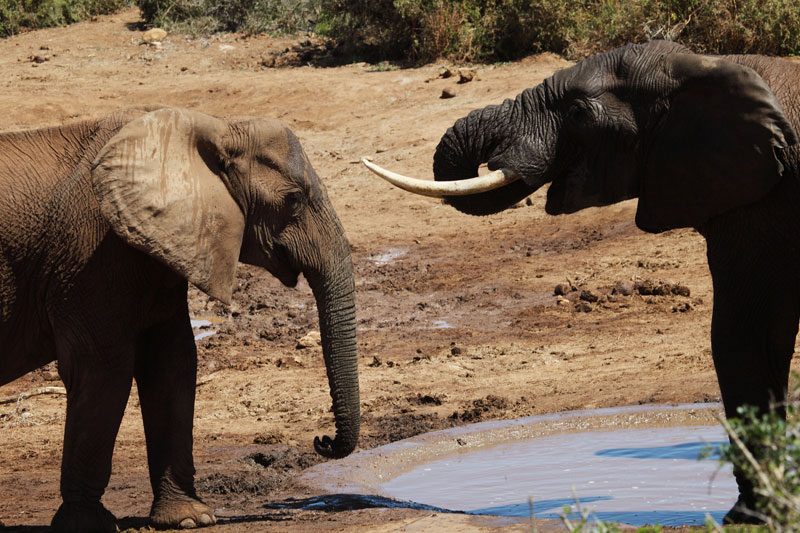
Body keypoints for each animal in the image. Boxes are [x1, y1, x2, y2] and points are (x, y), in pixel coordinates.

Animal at [0, 107, 359, 531]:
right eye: (295, 199)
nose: (323, 440)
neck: (212, 129)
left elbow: (172, 363)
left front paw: (189, 519)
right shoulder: (90, 256)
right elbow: (103, 369)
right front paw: (89, 524)